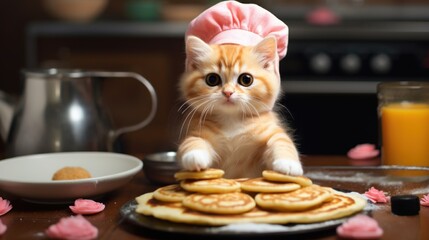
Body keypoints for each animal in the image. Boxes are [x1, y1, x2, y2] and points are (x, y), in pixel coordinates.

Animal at [176, 35, 300, 178]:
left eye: (246, 79)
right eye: (212, 79)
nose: (228, 92)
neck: (232, 119)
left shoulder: (269, 130)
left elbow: (281, 140)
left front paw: (288, 163)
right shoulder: (198, 130)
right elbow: (192, 141)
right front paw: (194, 155)